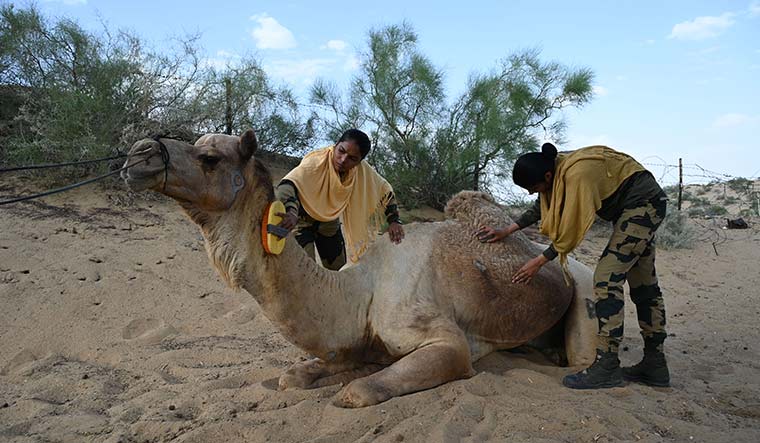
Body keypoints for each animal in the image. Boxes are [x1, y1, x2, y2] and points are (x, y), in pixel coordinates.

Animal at [120, 129, 600, 410]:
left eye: (210, 158)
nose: (139, 154)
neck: (358, 290)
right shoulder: (351, 341)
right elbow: (294, 376)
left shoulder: (447, 341)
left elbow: (358, 391)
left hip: (585, 283)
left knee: (583, 352)